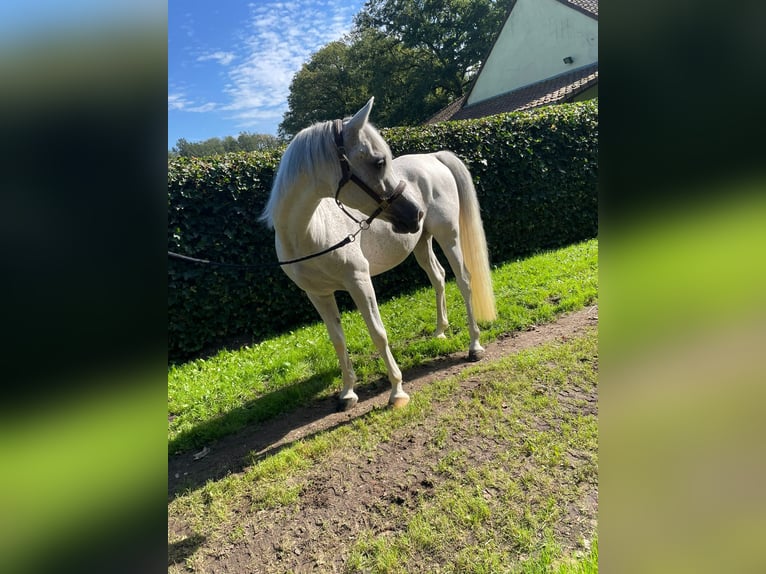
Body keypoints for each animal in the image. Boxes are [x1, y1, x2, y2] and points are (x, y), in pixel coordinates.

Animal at [260, 98, 498, 410]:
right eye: (379, 162)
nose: (414, 213)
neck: (310, 233)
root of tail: (433, 158)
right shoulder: (319, 295)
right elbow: (337, 340)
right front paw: (347, 393)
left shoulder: (359, 282)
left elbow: (378, 332)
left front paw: (397, 391)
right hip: (421, 243)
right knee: (438, 277)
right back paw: (440, 331)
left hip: (449, 237)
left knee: (464, 281)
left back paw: (474, 345)